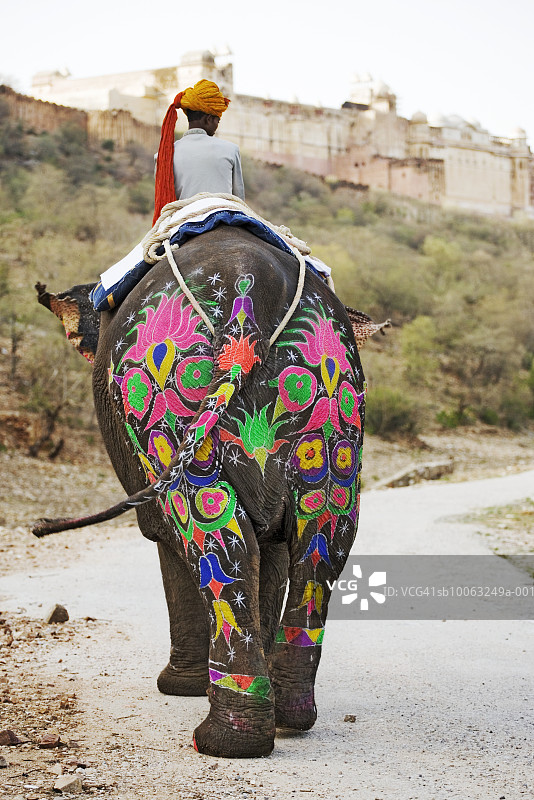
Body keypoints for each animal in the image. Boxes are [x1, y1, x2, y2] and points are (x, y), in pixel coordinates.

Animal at [35, 225, 381, 758]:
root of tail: (245, 290)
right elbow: (272, 549)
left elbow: (166, 538)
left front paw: (178, 688)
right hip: (340, 412)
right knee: (323, 536)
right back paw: (288, 716)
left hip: (164, 421)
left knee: (209, 536)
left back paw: (225, 740)